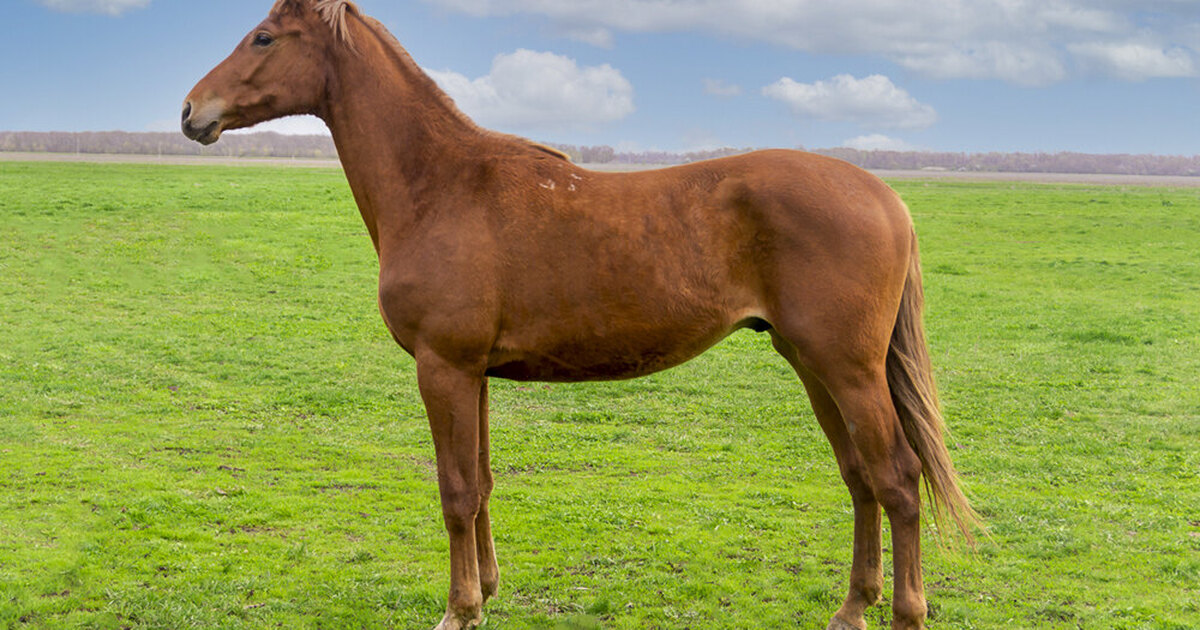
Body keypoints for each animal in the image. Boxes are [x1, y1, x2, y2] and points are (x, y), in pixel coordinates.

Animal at [182, 2, 979, 624]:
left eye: (262, 37)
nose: (191, 112)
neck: (441, 185)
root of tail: (886, 196)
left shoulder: (444, 368)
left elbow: (455, 491)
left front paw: (459, 609)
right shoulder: (473, 374)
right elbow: (481, 485)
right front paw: (487, 592)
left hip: (847, 370)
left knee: (897, 478)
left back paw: (905, 612)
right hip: (815, 366)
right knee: (859, 477)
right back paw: (851, 608)